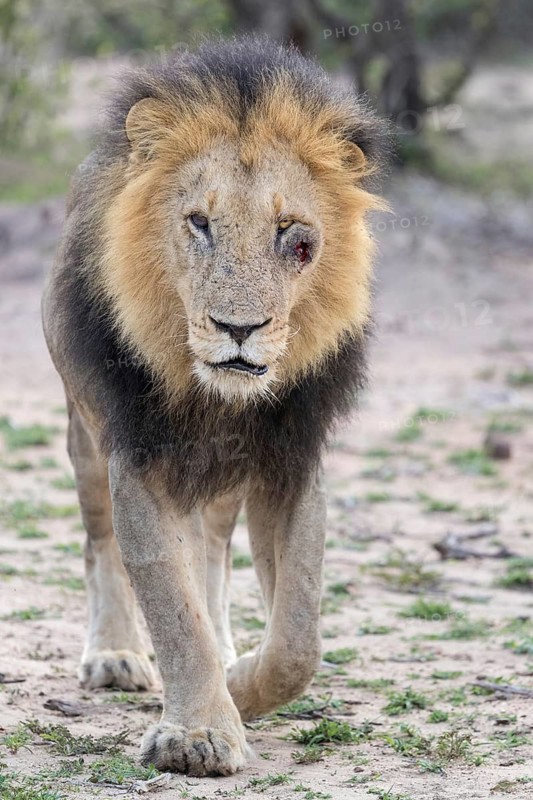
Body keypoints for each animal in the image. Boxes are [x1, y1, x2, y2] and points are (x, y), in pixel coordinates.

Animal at [42, 37, 387, 776]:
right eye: (198, 223)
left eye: (295, 237)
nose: (237, 328)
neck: (220, 401)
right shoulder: (139, 457)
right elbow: (171, 606)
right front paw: (197, 734)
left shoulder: (290, 459)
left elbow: (298, 636)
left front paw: (238, 686)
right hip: (84, 435)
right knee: (100, 544)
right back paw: (114, 653)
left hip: (222, 484)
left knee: (213, 554)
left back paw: (227, 652)